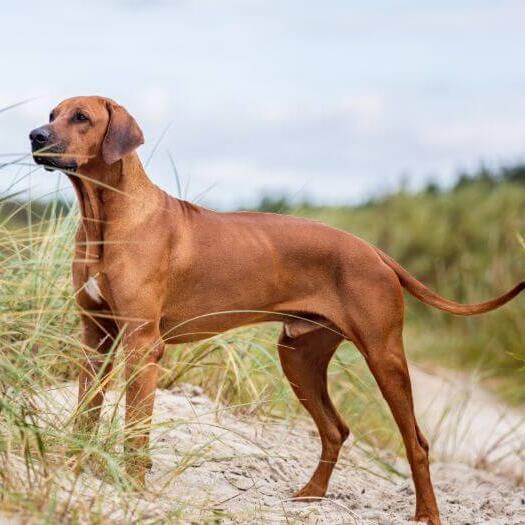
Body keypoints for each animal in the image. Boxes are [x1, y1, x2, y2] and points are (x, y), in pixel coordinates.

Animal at [29, 96, 524, 520]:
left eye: (81, 117)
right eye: (52, 114)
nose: (35, 134)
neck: (106, 218)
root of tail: (375, 251)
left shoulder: (141, 343)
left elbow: (136, 425)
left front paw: (131, 486)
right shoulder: (96, 337)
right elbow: (86, 410)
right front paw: (73, 464)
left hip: (384, 356)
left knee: (416, 442)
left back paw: (426, 514)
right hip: (298, 356)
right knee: (335, 429)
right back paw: (311, 495)